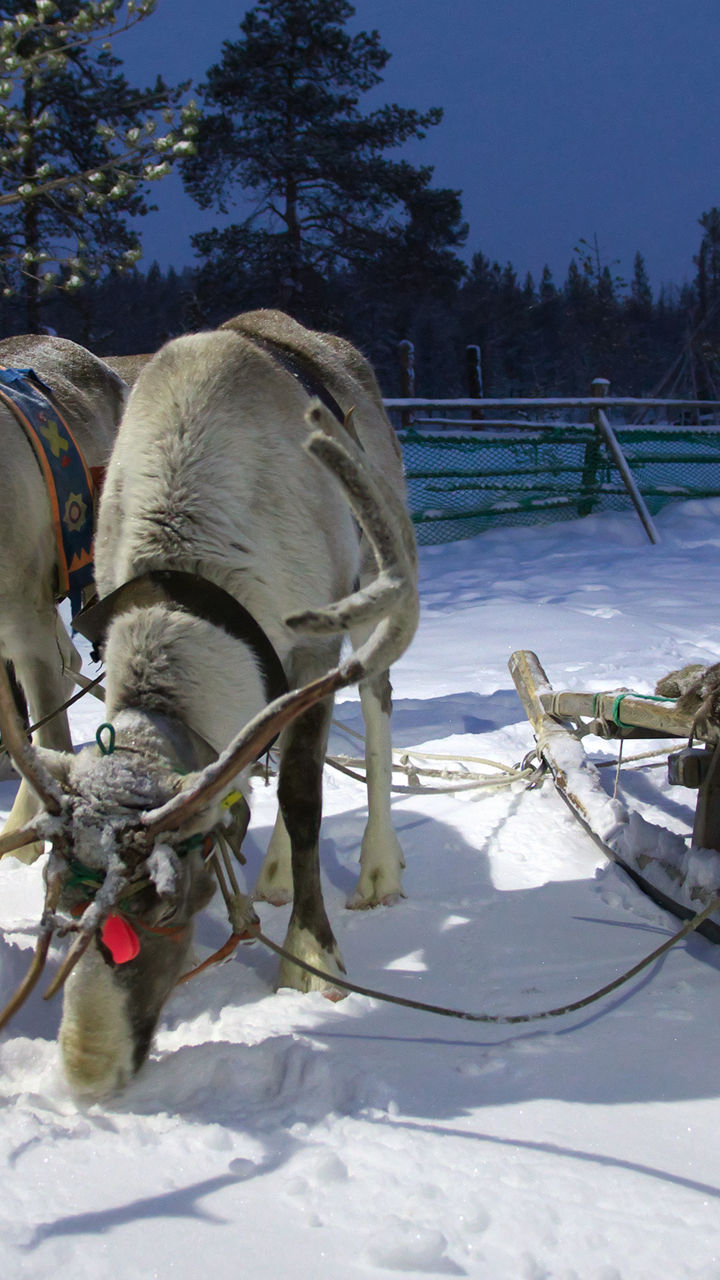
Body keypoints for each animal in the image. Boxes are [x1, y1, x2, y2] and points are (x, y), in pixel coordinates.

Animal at [0, 310, 418, 1098]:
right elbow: (260, 777)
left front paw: (310, 956)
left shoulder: (312, 643)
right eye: (57, 898)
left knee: (376, 706)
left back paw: (378, 867)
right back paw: (276, 873)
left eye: (167, 898)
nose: (87, 1071)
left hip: (376, 578)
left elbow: (304, 795)